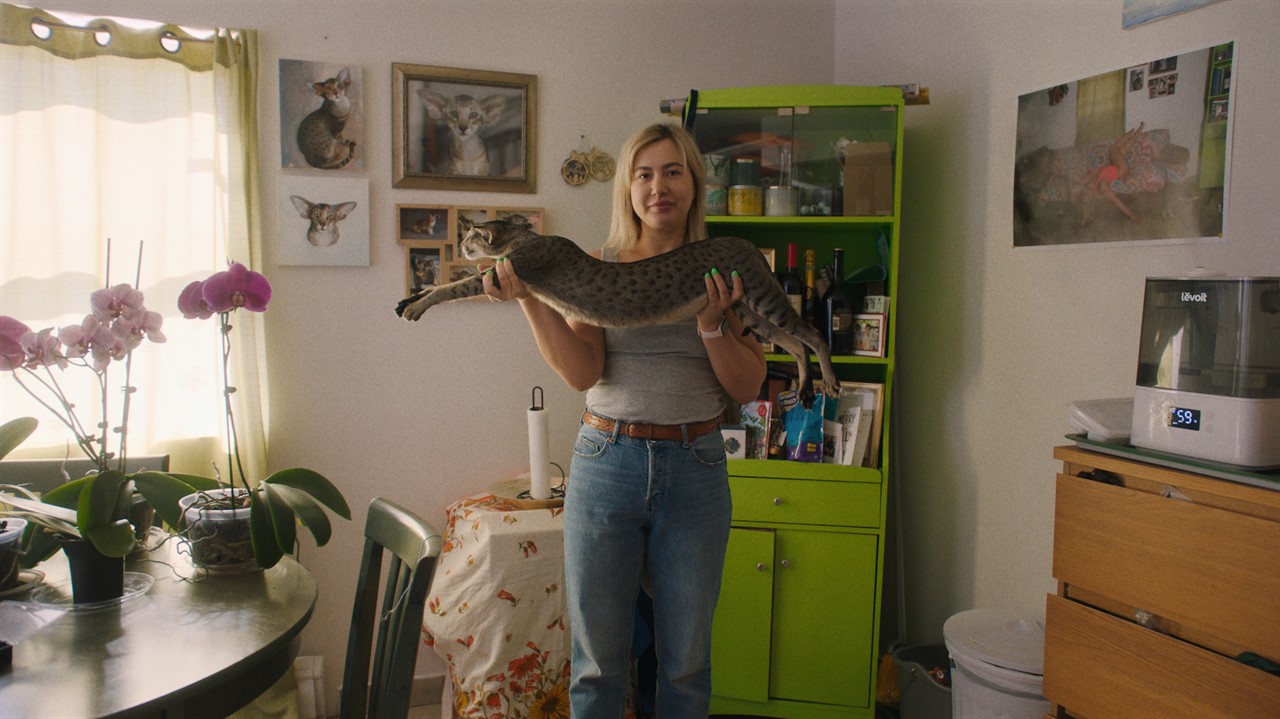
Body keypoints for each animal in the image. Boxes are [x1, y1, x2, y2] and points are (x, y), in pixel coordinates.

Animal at [396, 218, 839, 396]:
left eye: (470, 237)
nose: (461, 243)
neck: (524, 238)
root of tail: (747, 242)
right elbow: (443, 283)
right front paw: (411, 296)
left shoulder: (502, 271)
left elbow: (451, 286)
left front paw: (420, 303)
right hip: (748, 308)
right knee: (794, 344)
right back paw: (804, 385)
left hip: (762, 297)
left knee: (813, 334)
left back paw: (830, 381)